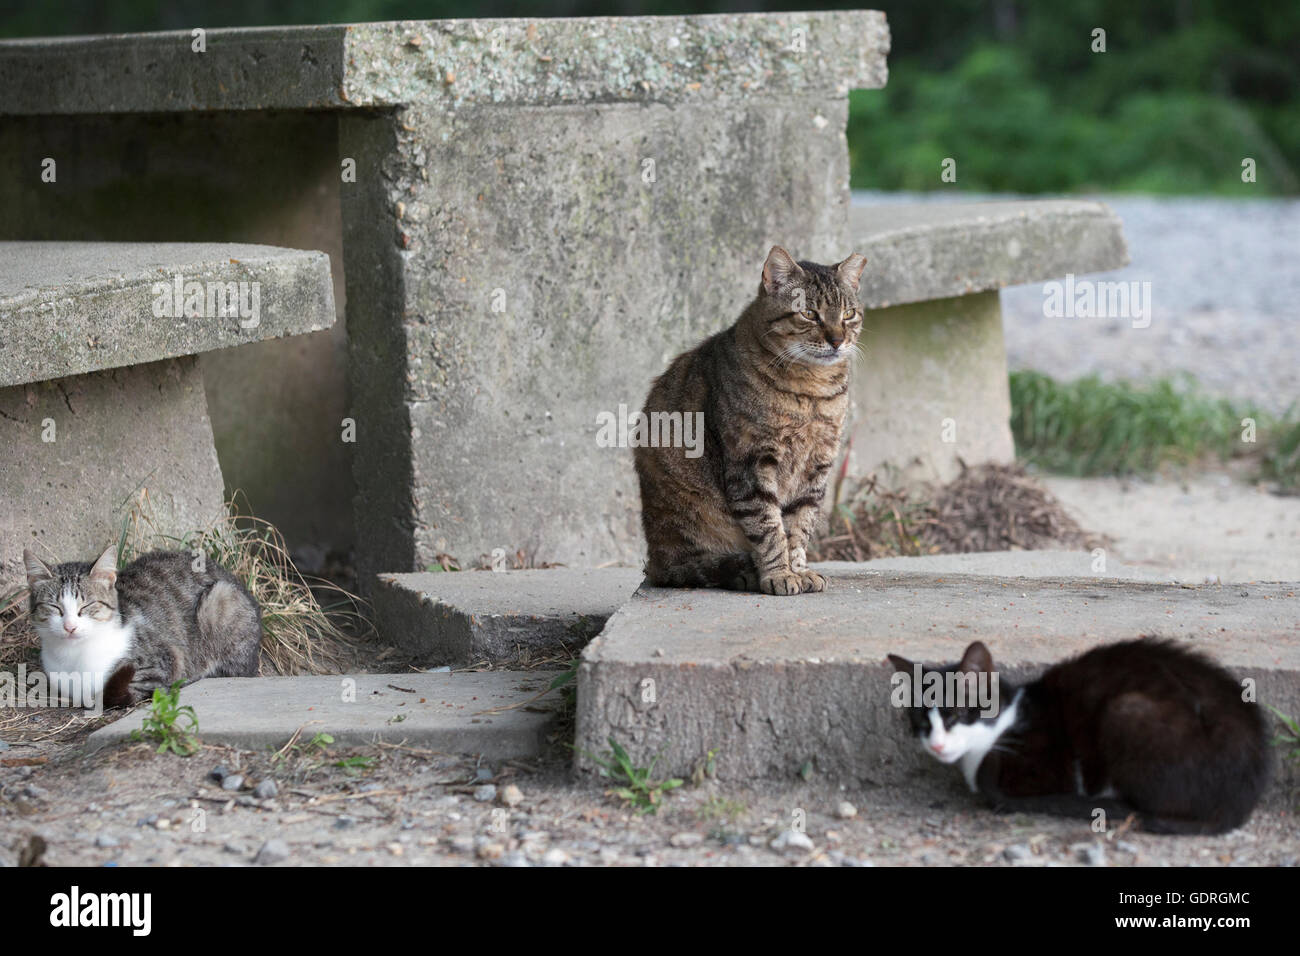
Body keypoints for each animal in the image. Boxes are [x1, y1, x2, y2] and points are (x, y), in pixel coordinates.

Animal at [23, 546, 261, 712]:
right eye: (55, 607)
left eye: (87, 606)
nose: (70, 627)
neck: (74, 656)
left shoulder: (165, 660)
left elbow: (115, 691)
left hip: (220, 600)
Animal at [634, 243, 868, 595]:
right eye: (809, 314)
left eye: (848, 314)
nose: (838, 340)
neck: (811, 392)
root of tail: (655, 560)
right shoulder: (751, 462)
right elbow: (769, 528)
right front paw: (780, 575)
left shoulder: (817, 465)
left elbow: (799, 525)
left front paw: (799, 570)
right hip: (685, 531)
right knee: (690, 568)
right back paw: (742, 572)